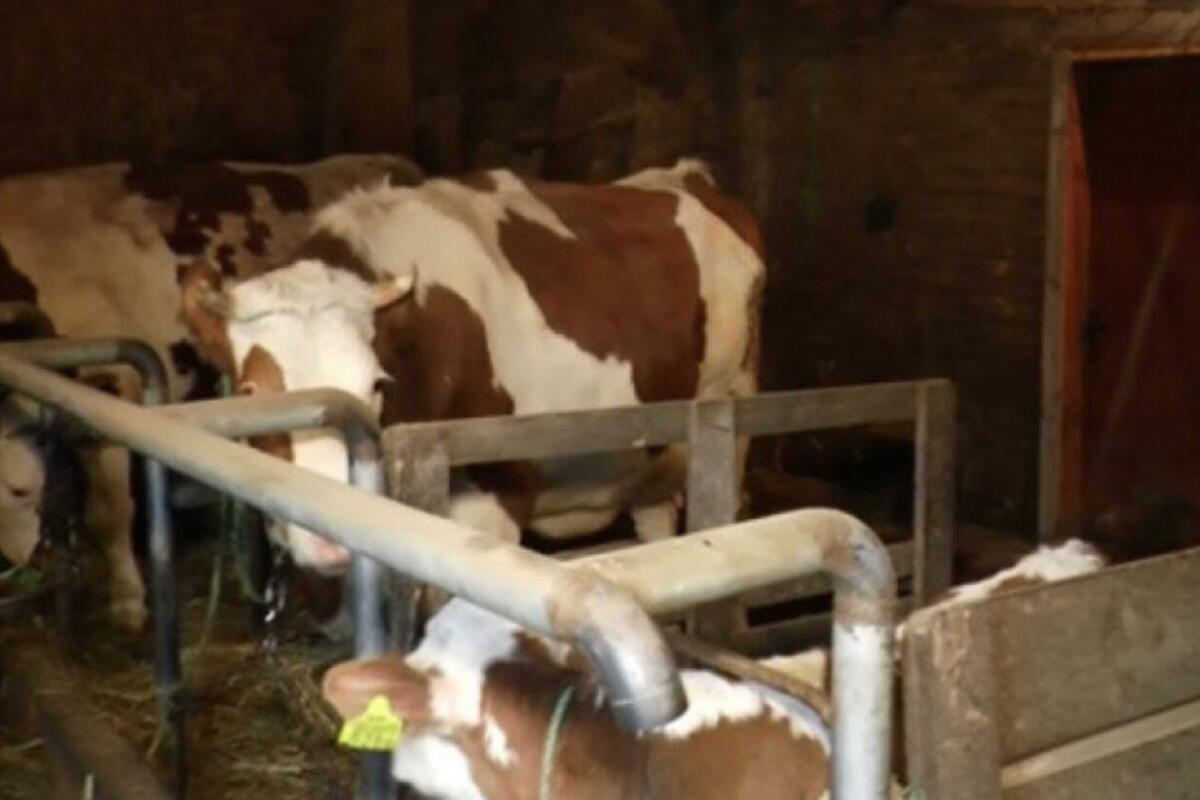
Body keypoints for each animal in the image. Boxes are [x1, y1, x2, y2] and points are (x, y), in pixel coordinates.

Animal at [180, 159, 765, 575]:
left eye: (374, 385)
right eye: (252, 393)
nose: (330, 537)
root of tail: (683, 176)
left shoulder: (492, 495)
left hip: (732, 413)